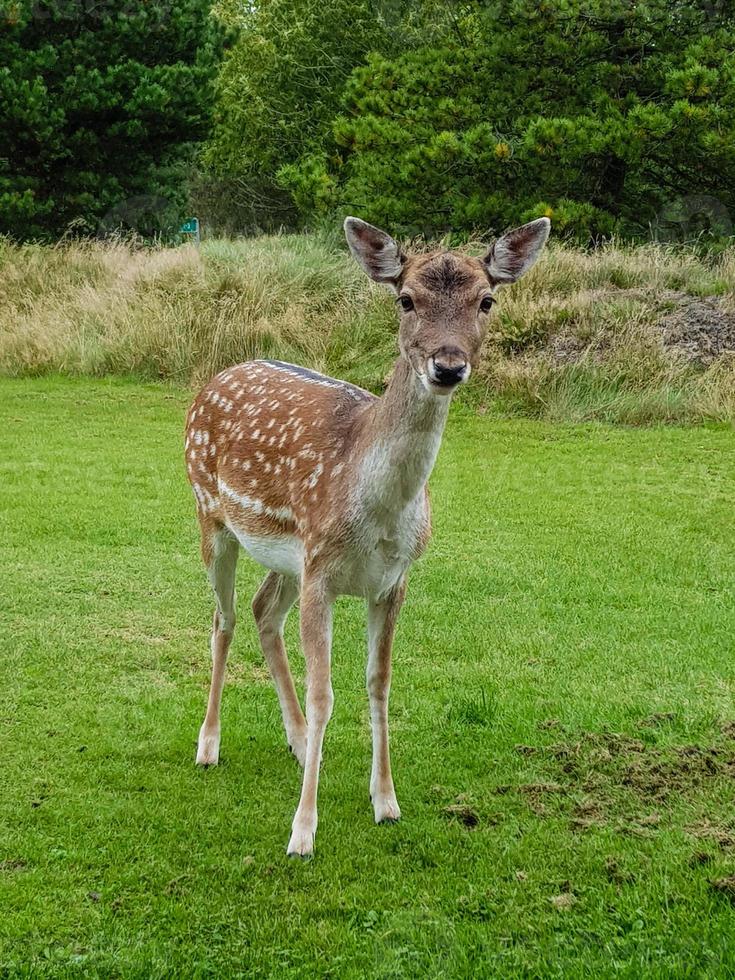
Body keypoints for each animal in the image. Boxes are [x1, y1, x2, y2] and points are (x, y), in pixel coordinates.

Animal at [187, 216, 548, 856]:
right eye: (406, 299)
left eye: (487, 300)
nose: (448, 366)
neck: (377, 512)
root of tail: (218, 375)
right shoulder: (323, 575)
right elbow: (324, 693)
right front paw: (303, 832)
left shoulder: (390, 580)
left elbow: (378, 684)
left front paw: (386, 802)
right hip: (211, 517)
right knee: (223, 619)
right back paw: (209, 745)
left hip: (287, 558)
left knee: (261, 611)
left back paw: (297, 740)